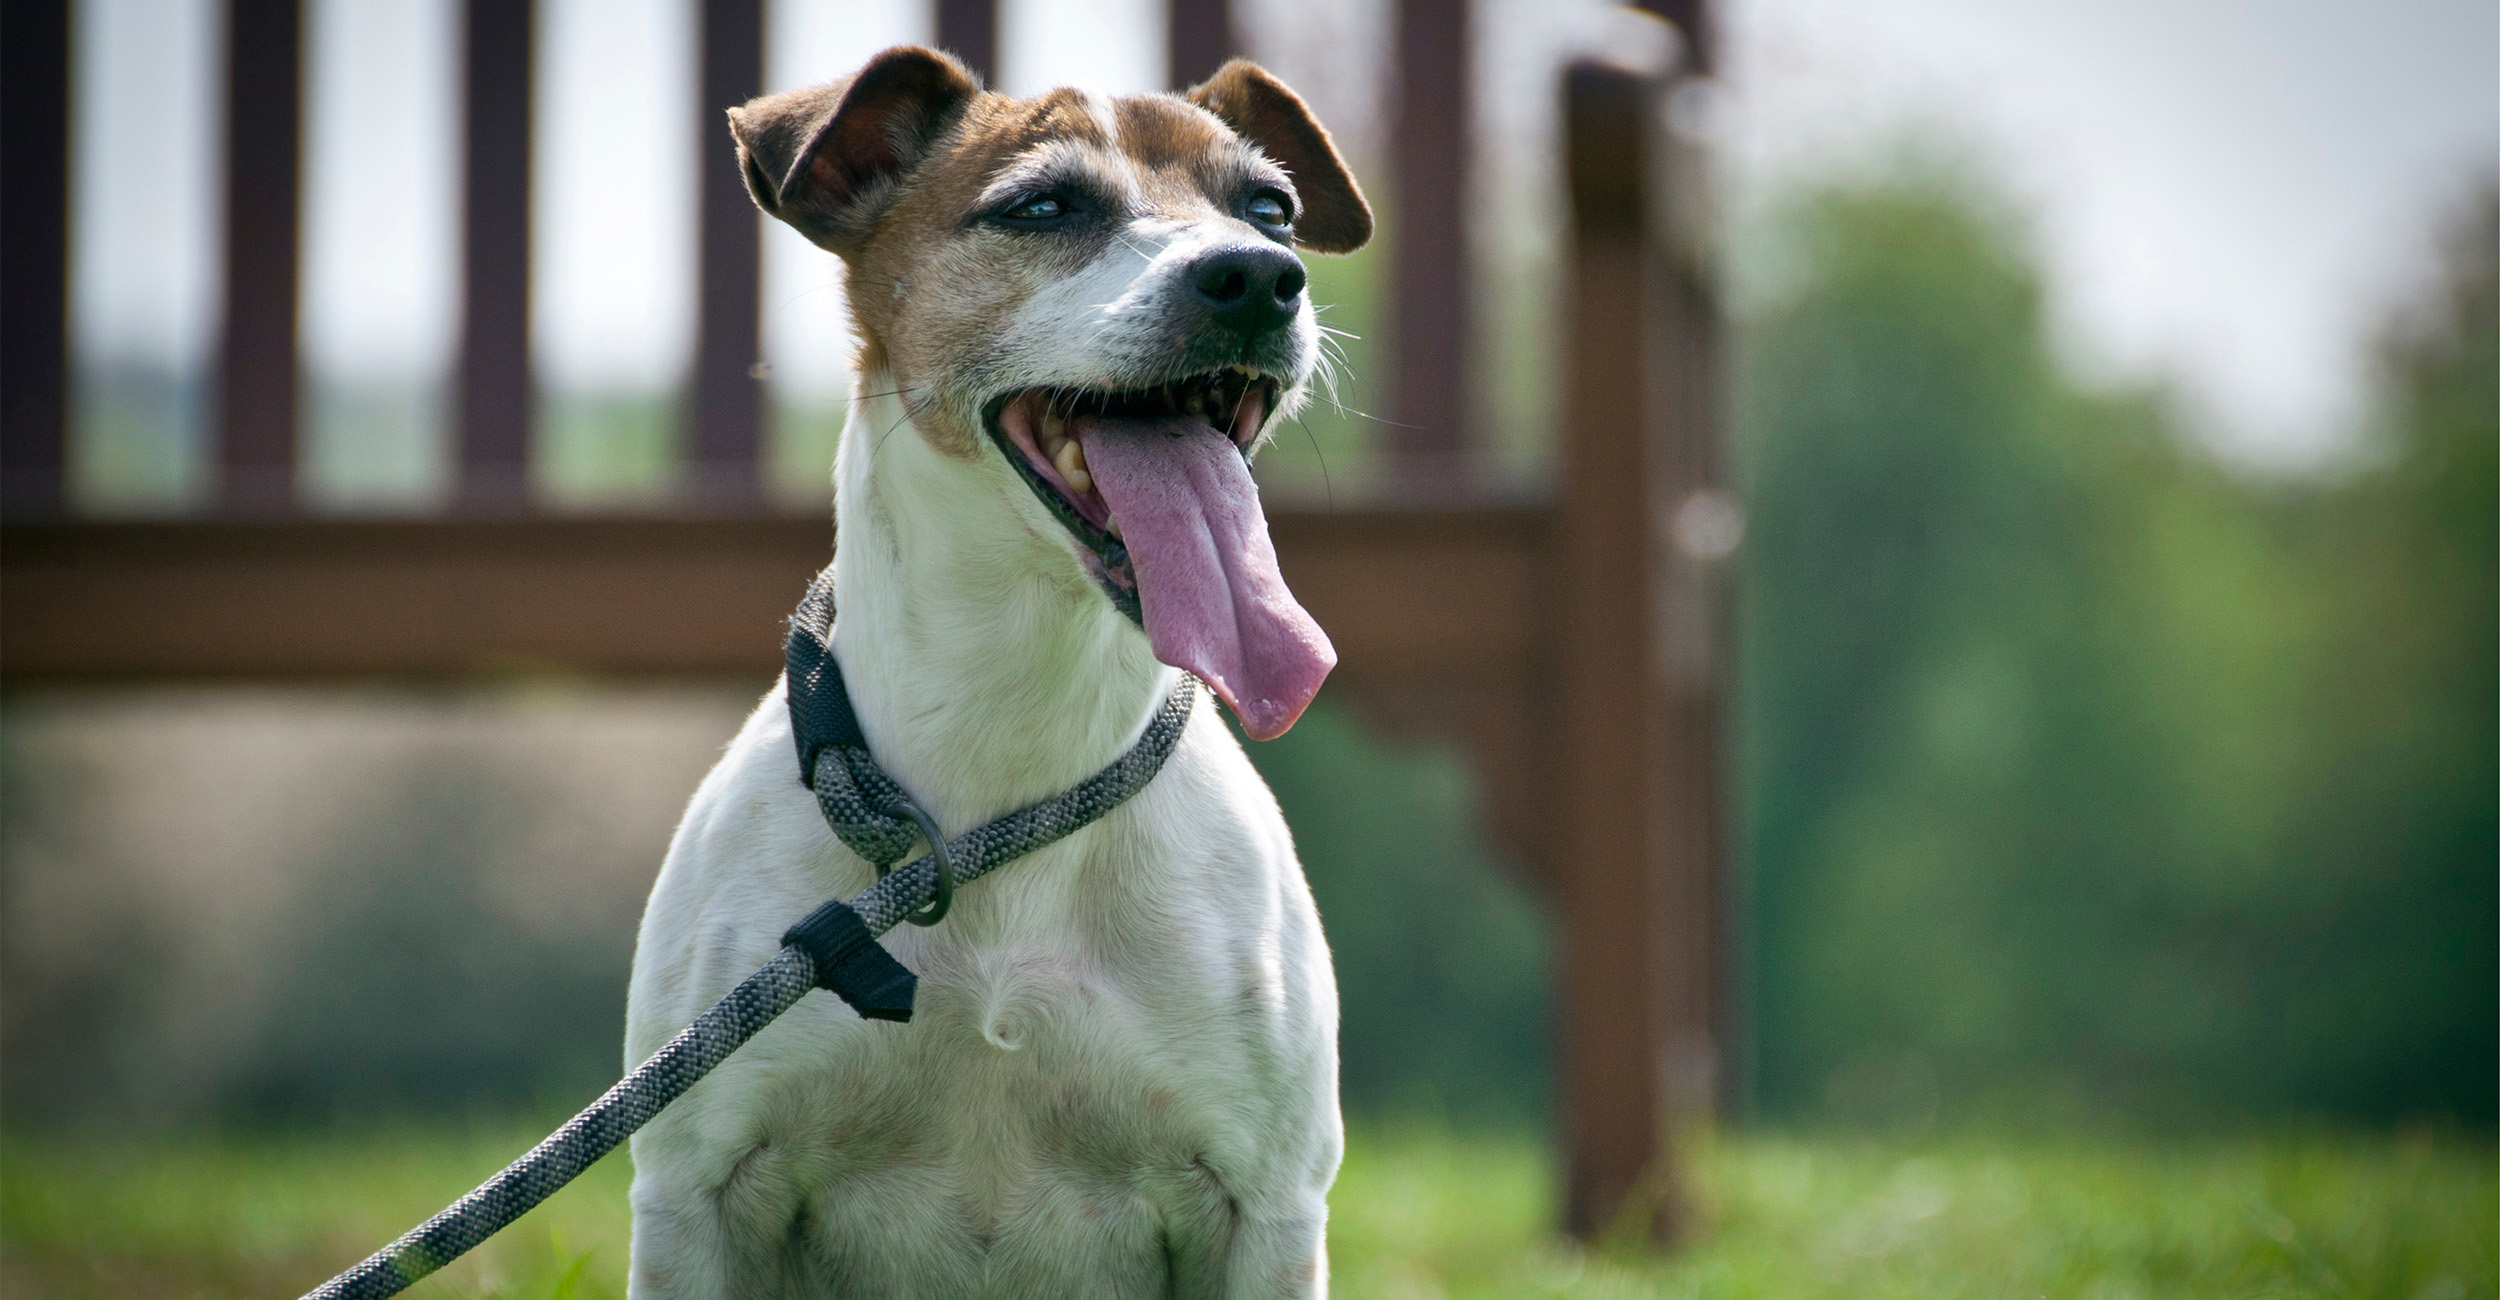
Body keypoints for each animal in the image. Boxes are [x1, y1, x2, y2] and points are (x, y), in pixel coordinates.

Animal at [620, 45, 1370, 1290]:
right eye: (1043, 207)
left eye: (1270, 209)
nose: (1260, 278)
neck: (1014, 756)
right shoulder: (694, 1193)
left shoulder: (1266, 1206)